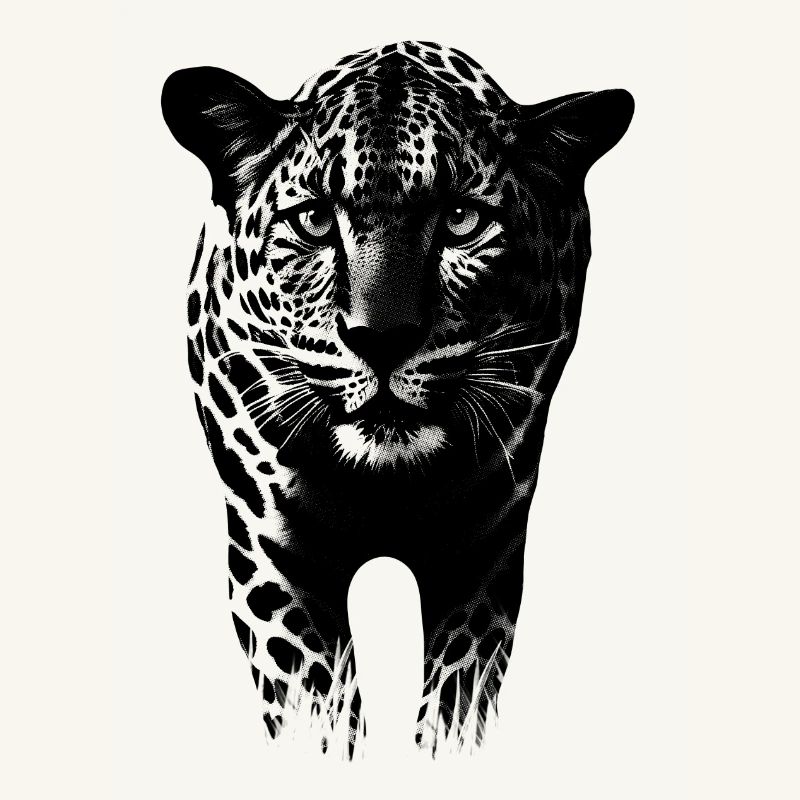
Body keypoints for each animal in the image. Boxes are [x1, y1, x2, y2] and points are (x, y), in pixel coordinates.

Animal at [161, 40, 633, 758]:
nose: (380, 338)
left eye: (463, 220)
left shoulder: (483, 556)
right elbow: (315, 706)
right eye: (315, 219)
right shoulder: (275, 559)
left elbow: (458, 699)